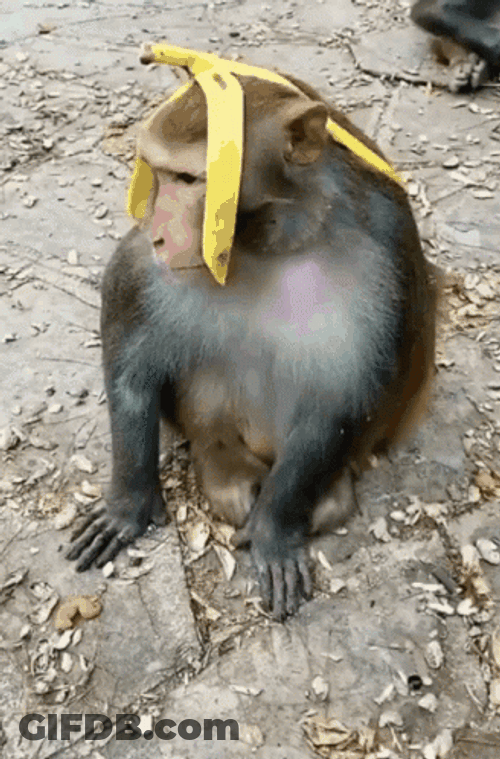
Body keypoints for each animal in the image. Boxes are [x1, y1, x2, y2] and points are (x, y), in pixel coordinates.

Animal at [66, 64, 437, 621]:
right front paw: (128, 503)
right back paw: (224, 469)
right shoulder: (146, 270)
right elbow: (132, 366)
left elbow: (339, 401)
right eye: (158, 174)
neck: (269, 243)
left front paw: (274, 531)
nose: (156, 232)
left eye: (188, 179)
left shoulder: (384, 267)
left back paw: (319, 495)